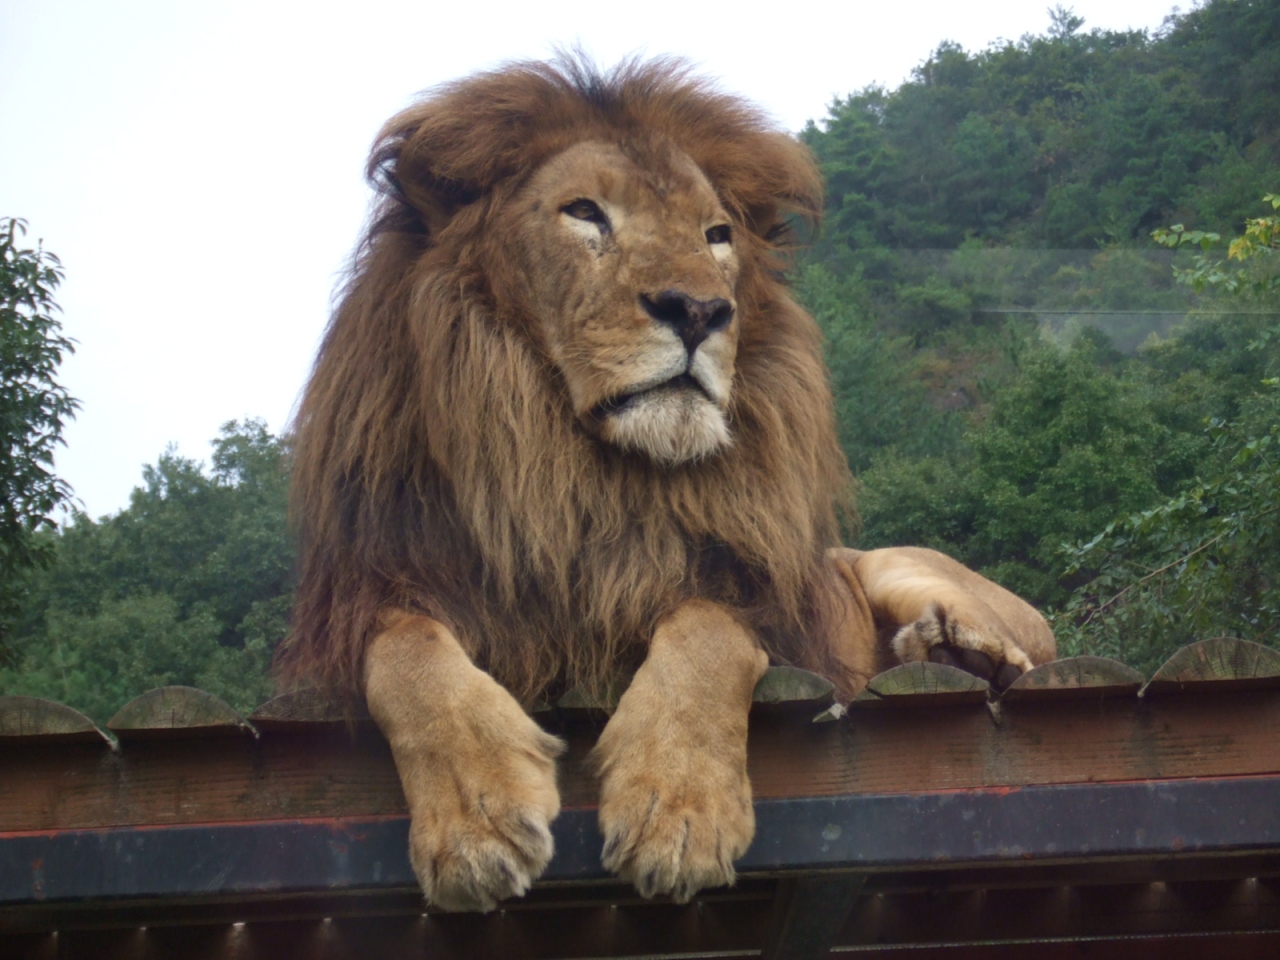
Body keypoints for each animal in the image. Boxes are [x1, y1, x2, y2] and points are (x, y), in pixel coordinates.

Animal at [280, 58, 1055, 913]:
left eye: (716, 236)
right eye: (585, 213)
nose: (700, 310)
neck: (583, 477)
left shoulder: (752, 595)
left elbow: (708, 632)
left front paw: (677, 813)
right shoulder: (375, 591)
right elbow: (404, 655)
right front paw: (477, 818)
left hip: (897, 565)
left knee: (1024, 651)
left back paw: (965, 651)